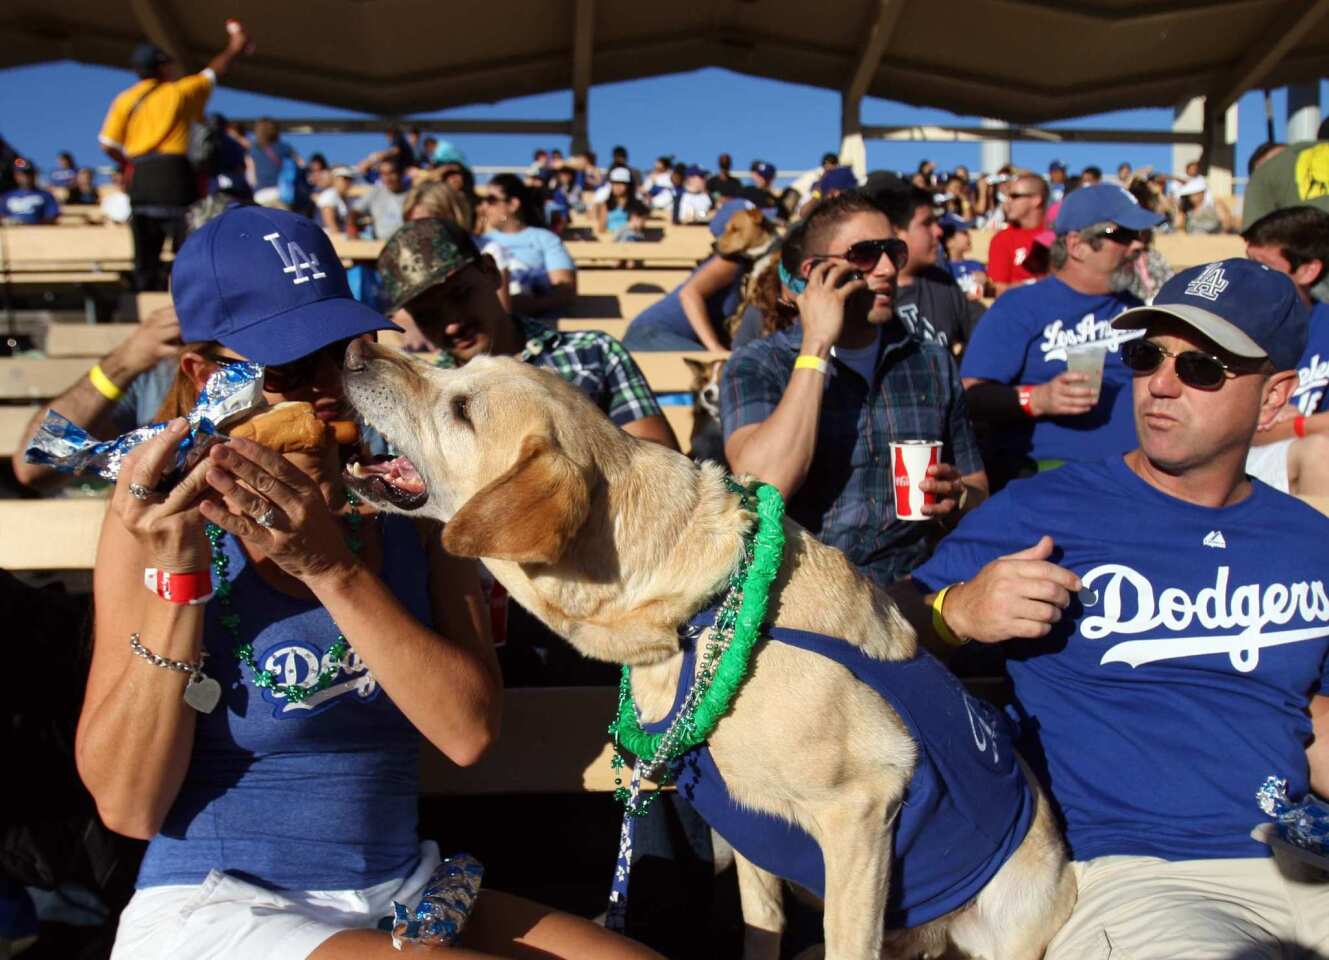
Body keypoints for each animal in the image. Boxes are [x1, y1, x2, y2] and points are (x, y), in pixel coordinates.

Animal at [345, 340, 1079, 952]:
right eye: (457, 370)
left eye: (461, 408)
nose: (355, 349)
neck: (699, 617)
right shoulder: (754, 837)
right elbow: (762, 927)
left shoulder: (860, 811)